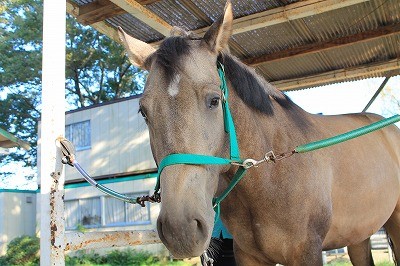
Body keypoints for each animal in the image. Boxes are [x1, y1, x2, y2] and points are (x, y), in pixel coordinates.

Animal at [117, 1, 400, 264]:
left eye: (214, 100)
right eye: (144, 112)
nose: (181, 230)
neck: (273, 175)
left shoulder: (307, 252)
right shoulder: (248, 255)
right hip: (359, 234)